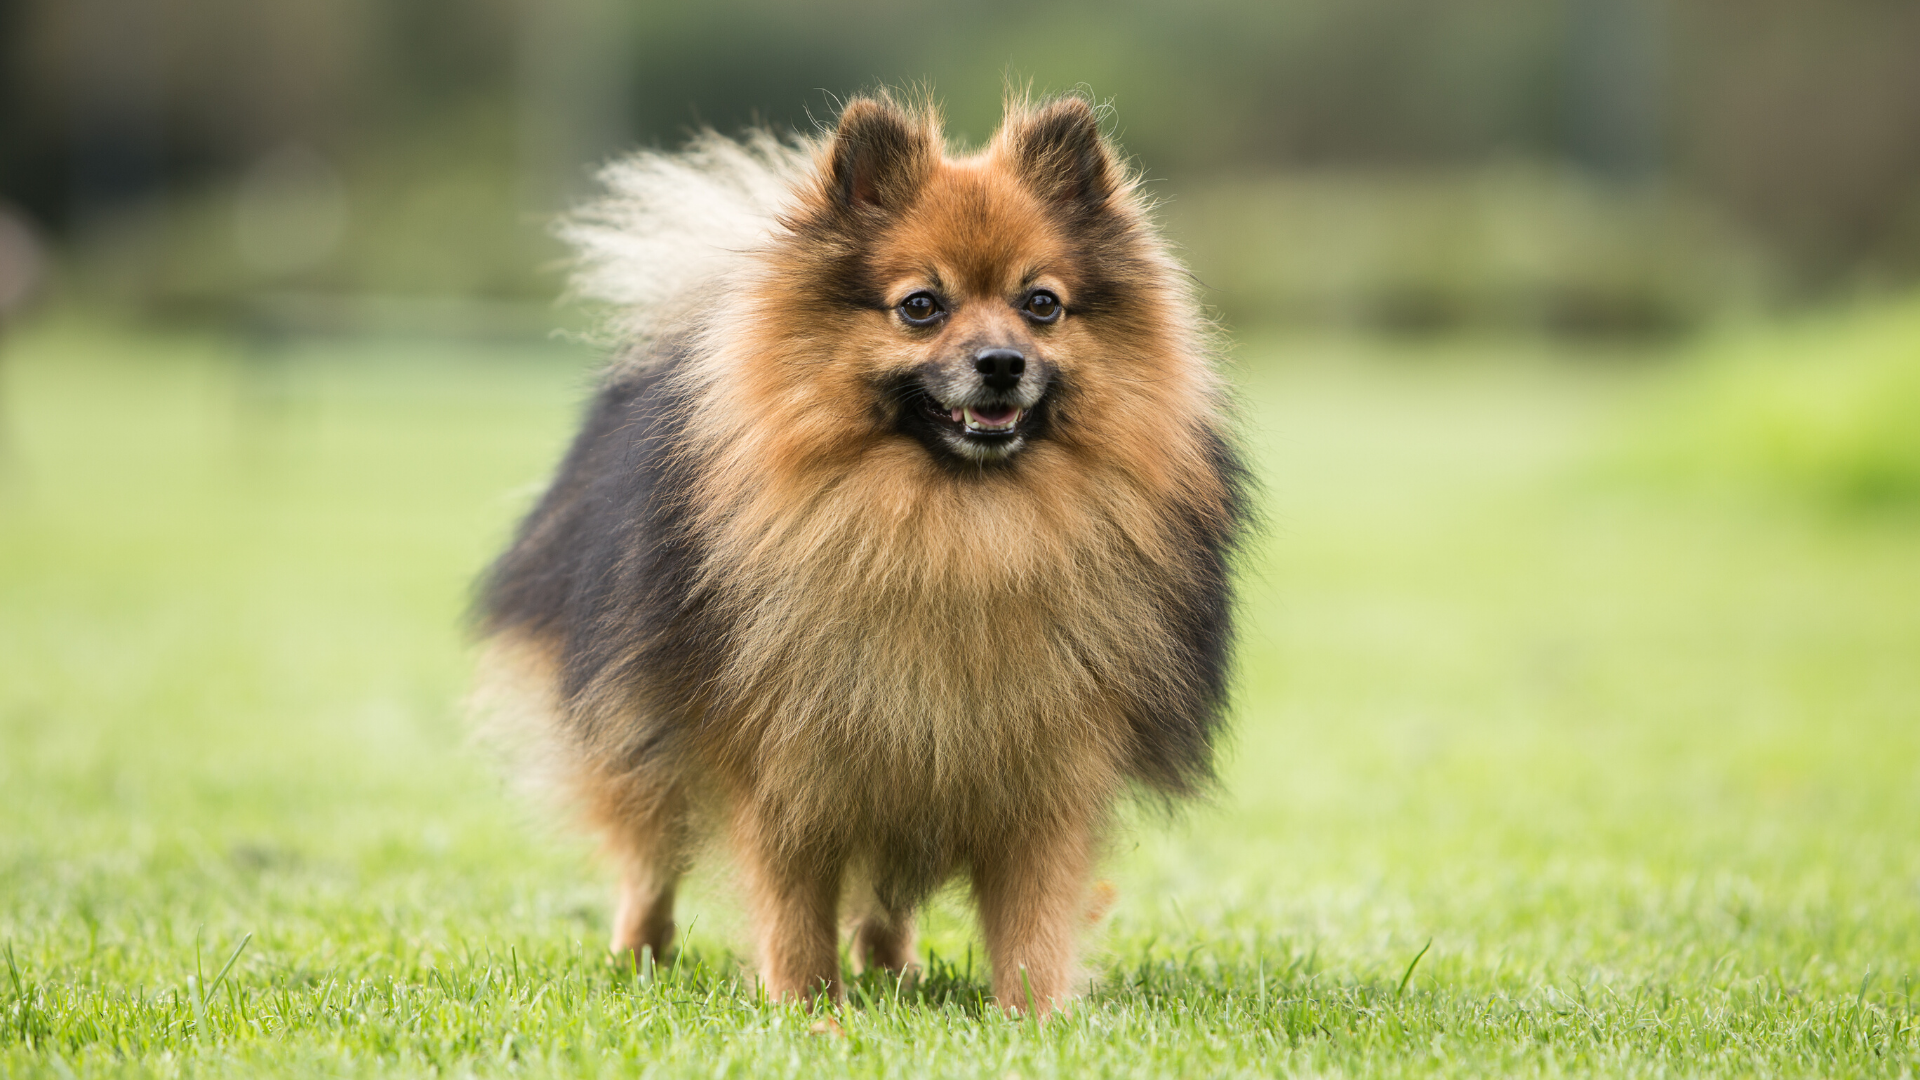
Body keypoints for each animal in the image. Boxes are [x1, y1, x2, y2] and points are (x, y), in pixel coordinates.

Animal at [480, 90, 1244, 1006]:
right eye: (921, 306)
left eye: (1041, 304)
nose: (1001, 363)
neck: (958, 531)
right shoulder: (784, 757)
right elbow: (792, 903)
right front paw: (806, 1008)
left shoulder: (1042, 761)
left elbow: (1033, 913)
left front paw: (1035, 1013)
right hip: (633, 721)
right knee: (648, 855)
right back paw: (640, 955)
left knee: (886, 897)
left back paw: (896, 971)